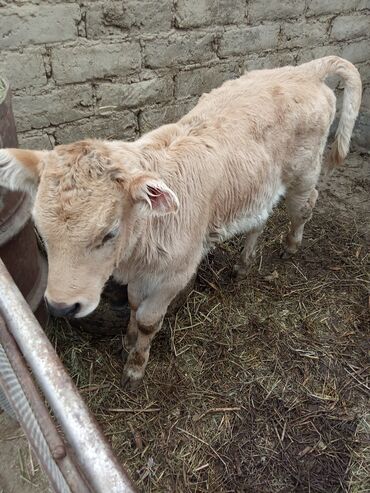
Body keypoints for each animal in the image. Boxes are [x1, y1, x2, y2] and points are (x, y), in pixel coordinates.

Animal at [0, 56, 362, 388]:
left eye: (109, 233)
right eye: (41, 233)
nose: (61, 306)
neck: (139, 246)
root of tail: (305, 69)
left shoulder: (176, 272)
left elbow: (148, 320)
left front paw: (135, 366)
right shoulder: (142, 273)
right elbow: (134, 305)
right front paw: (127, 342)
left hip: (305, 172)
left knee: (305, 206)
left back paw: (291, 245)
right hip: (258, 185)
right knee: (260, 218)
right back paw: (243, 264)